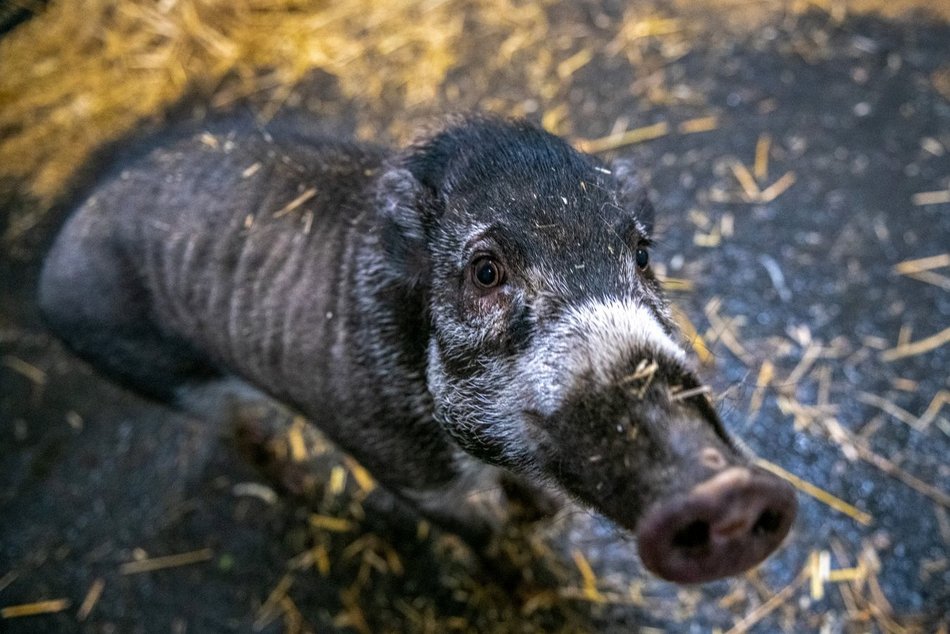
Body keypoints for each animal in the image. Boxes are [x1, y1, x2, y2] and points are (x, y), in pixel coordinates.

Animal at [39, 115, 796, 584]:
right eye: (485, 272)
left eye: (640, 253)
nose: (729, 491)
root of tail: (50, 266)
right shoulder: (408, 472)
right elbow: (479, 535)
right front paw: (520, 577)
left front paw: (542, 517)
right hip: (172, 380)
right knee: (243, 435)